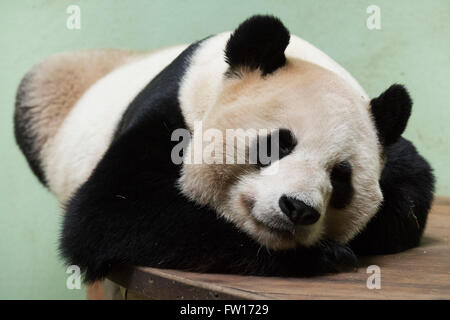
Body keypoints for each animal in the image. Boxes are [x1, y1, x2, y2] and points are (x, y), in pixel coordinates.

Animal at [14, 16, 434, 282]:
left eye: (341, 177)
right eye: (277, 144)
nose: (297, 208)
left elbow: (411, 195)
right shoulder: (171, 116)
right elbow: (108, 213)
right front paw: (322, 256)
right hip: (51, 100)